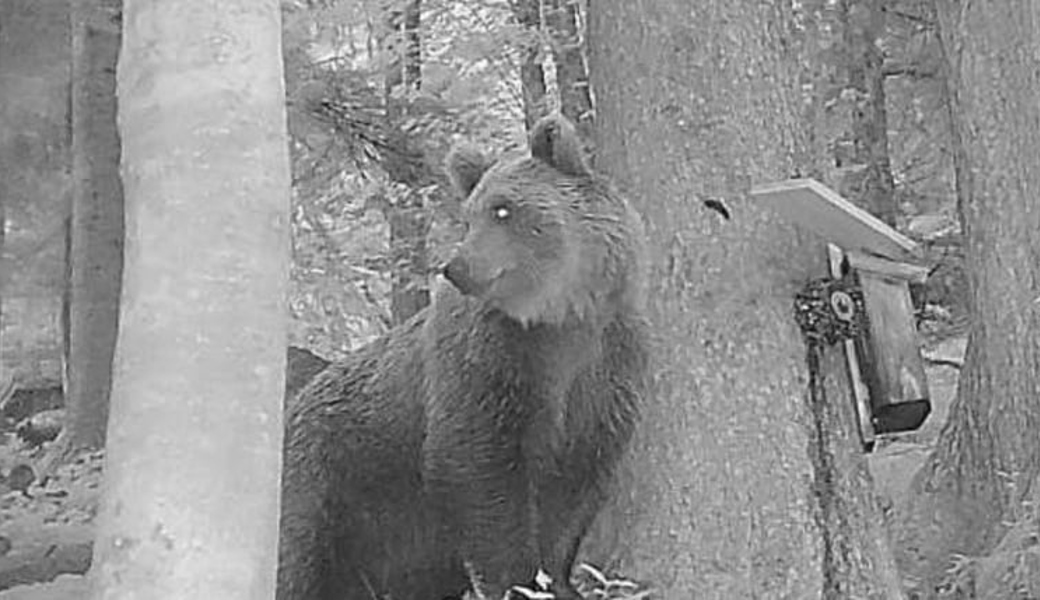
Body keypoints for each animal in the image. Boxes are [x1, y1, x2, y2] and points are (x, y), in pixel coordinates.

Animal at [277, 114, 650, 600]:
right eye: (469, 216)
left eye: (503, 209)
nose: (456, 266)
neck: (561, 318)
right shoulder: (491, 365)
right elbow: (480, 469)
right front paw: (517, 580)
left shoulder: (604, 370)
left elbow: (576, 488)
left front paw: (558, 579)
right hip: (332, 484)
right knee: (300, 563)